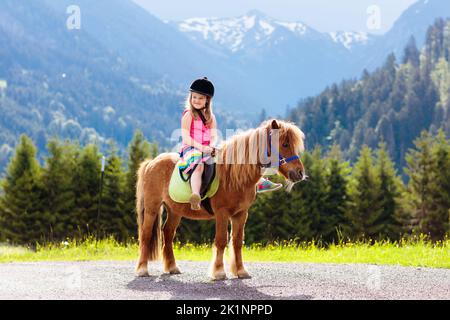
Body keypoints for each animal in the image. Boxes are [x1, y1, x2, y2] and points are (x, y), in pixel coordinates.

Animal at [134, 119, 306, 278]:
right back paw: (142, 269)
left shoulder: (241, 214)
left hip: (175, 210)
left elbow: (237, 242)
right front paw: (219, 272)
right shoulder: (221, 213)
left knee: (168, 233)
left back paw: (172, 267)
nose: (300, 173)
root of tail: (151, 162)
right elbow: (222, 240)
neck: (233, 176)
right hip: (152, 207)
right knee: (146, 234)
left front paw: (241, 271)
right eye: (285, 144)